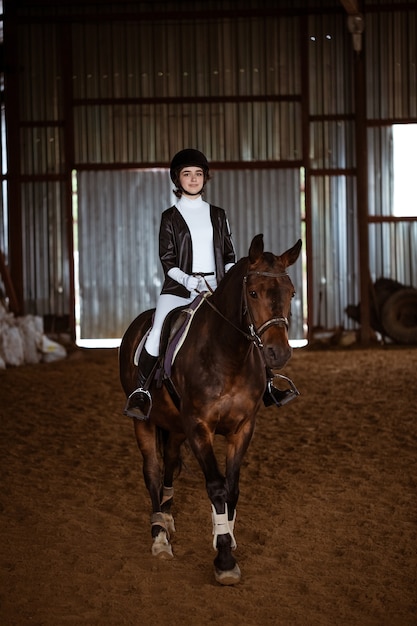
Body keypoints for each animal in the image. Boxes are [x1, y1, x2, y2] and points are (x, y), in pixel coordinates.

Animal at [118, 232, 300, 584]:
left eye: (292, 293)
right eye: (253, 293)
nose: (278, 353)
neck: (228, 355)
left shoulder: (243, 427)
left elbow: (232, 489)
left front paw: (225, 536)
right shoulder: (199, 426)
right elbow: (216, 487)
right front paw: (225, 559)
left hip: (175, 428)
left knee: (169, 466)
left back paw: (167, 517)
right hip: (144, 422)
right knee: (153, 471)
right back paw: (159, 536)